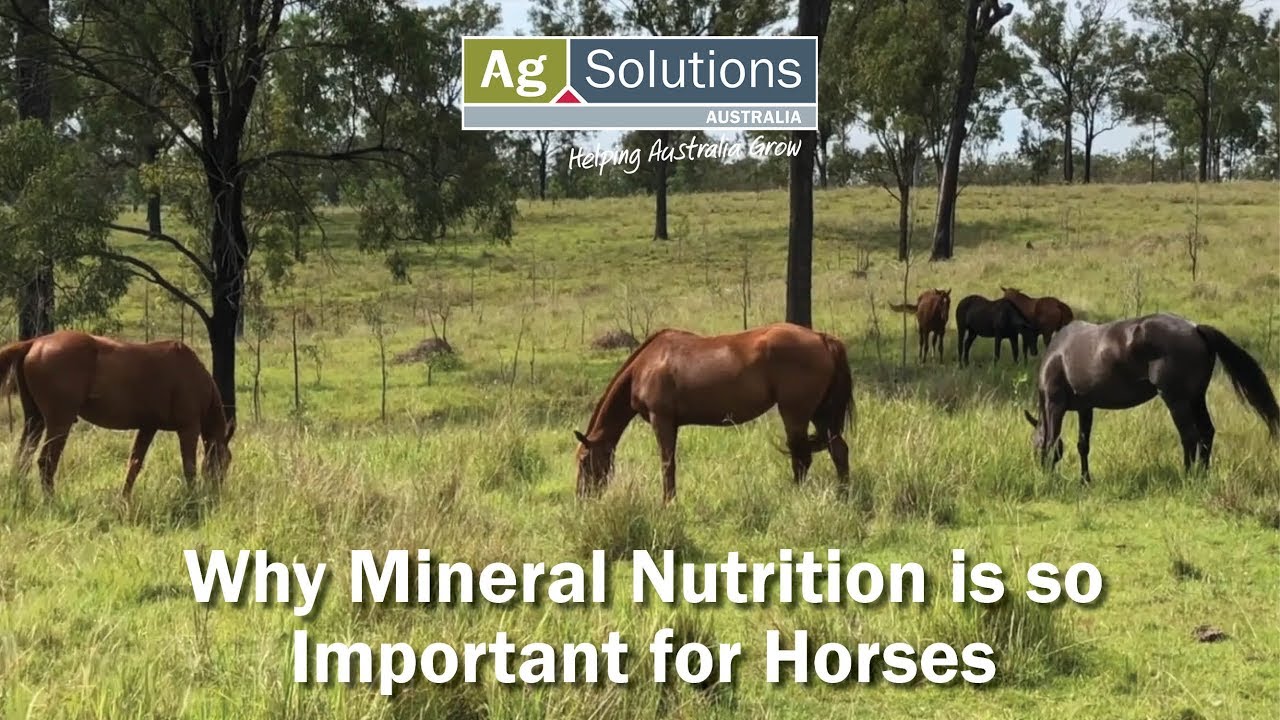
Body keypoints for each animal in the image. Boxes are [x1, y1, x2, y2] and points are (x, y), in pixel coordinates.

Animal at [0, 331, 236, 497]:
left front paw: (124, 502)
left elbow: (134, 465)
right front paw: (193, 499)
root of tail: (35, 343)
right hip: (59, 423)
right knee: (46, 463)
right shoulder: (188, 428)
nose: (217, 494)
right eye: (225, 461)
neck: (192, 374)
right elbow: (189, 468)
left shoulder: (148, 427)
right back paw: (51, 502)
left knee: (23, 459)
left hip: (35, 421)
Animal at [573, 323, 855, 503]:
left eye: (584, 460)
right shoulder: (672, 424)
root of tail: (822, 338)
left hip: (795, 414)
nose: (582, 498)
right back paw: (843, 492)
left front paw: (668, 504)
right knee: (838, 450)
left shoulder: (661, 420)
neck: (647, 365)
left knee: (802, 457)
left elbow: (667, 464)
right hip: (820, 414)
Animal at [1023, 314, 1279, 482]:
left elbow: (1052, 442)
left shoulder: (1055, 405)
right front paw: (1085, 480)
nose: (1038, 472)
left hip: (1177, 400)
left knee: (1190, 436)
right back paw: (1202, 475)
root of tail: (1195, 328)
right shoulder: (1086, 408)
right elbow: (1082, 445)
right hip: (1196, 398)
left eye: (1033, 446)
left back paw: (1187, 476)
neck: (1058, 354)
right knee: (1206, 433)